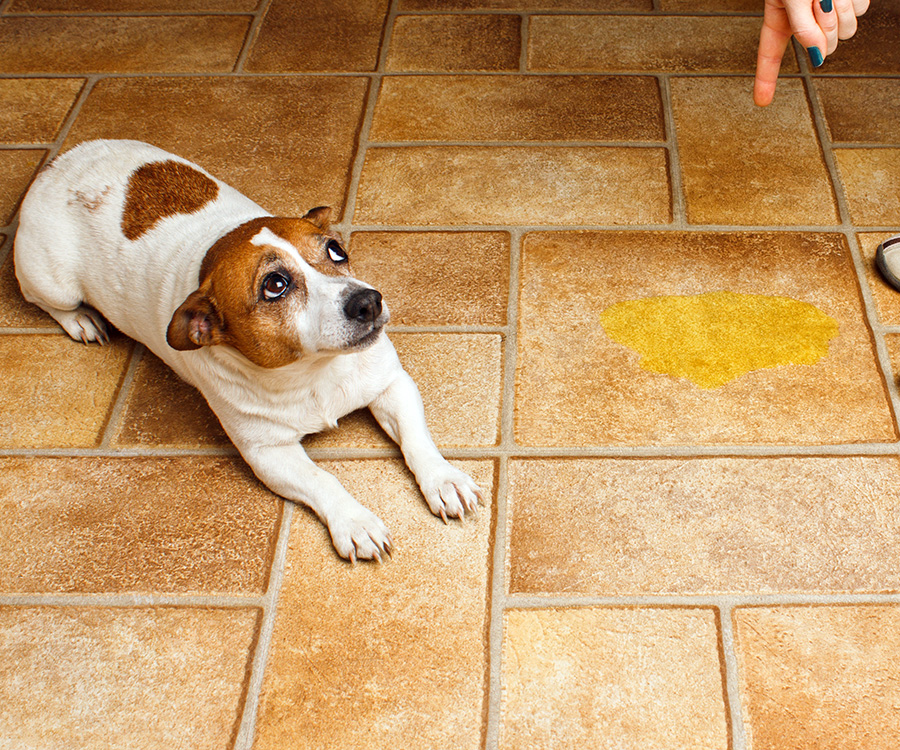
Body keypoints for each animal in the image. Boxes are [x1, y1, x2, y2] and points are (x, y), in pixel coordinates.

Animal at [14, 141, 482, 564]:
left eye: (336, 251)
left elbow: (417, 441)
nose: (368, 301)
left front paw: (444, 479)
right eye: (275, 285)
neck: (316, 372)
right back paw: (81, 320)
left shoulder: (391, 386)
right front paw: (355, 522)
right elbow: (322, 479)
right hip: (50, 282)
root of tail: (58, 162)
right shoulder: (267, 452)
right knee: (47, 301)